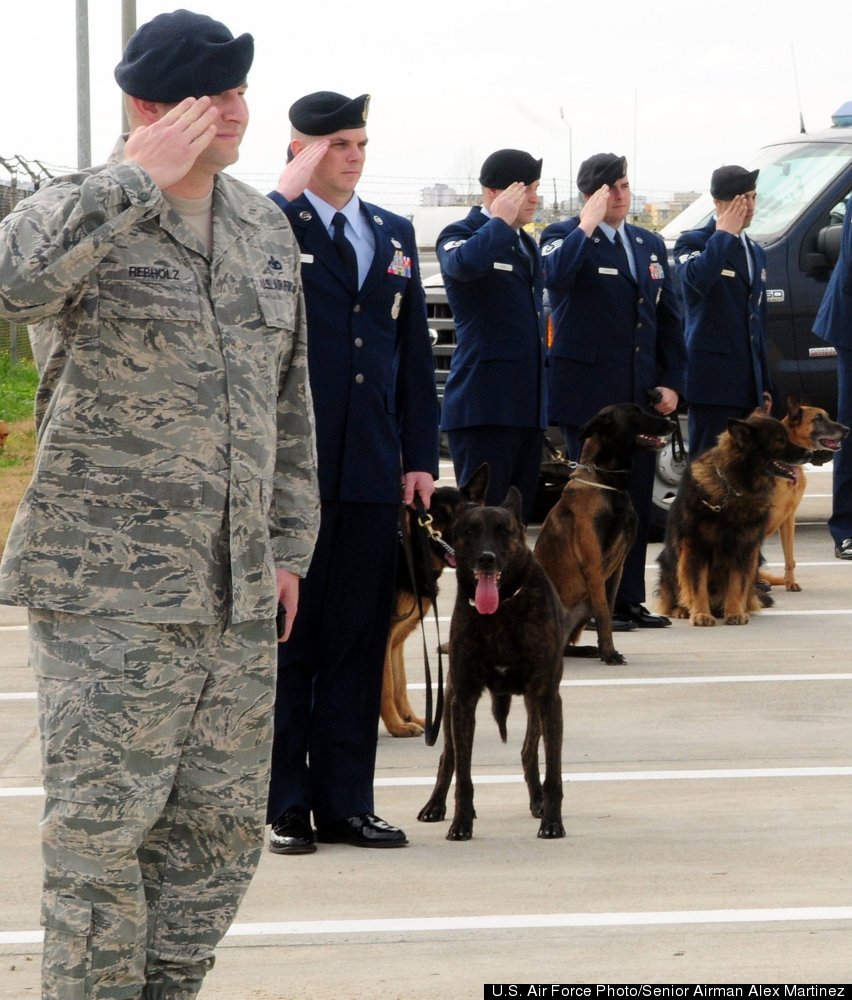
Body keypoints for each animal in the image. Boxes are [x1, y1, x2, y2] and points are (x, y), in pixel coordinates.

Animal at [382, 488, 466, 740]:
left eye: (465, 513)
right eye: (438, 516)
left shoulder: (396, 642)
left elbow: (399, 684)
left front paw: (409, 719)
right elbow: (387, 685)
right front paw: (396, 726)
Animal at [418, 464, 564, 840]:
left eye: (504, 531)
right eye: (469, 531)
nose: (486, 558)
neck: (501, 610)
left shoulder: (547, 696)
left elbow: (553, 771)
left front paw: (552, 822)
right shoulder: (463, 697)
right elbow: (464, 774)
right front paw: (461, 822)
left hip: (534, 705)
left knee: (529, 751)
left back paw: (538, 801)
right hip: (450, 701)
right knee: (449, 759)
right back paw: (435, 805)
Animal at [536, 402, 676, 668]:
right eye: (634, 413)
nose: (673, 423)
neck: (608, 483)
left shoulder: (616, 568)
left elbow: (608, 612)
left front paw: (605, 649)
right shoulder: (593, 566)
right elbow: (602, 613)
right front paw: (610, 654)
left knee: (565, 646)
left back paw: (586, 649)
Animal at [660, 414, 812, 624]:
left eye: (787, 436)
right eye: (780, 440)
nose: (809, 454)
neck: (733, 487)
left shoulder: (744, 548)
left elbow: (737, 584)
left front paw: (734, 612)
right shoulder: (696, 547)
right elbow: (697, 586)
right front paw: (700, 613)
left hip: (754, 562)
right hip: (668, 564)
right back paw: (681, 609)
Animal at [760, 400, 844, 592]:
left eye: (827, 416)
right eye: (817, 419)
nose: (847, 429)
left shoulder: (788, 519)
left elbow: (790, 557)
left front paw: (790, 581)